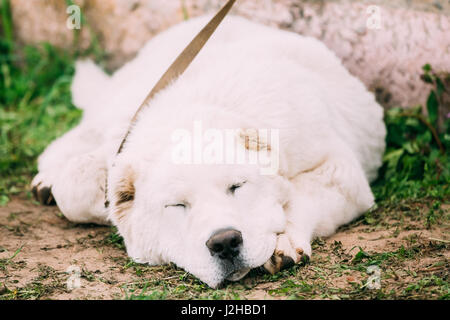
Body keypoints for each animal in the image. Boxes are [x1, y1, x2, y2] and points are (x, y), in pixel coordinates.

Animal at [29, 13, 384, 288]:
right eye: (177, 205)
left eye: (237, 187)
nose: (225, 242)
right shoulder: (120, 144)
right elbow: (76, 186)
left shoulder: (343, 173)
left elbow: (300, 194)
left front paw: (283, 237)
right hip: (119, 105)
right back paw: (46, 179)